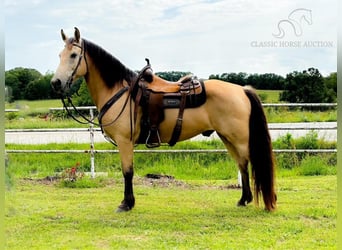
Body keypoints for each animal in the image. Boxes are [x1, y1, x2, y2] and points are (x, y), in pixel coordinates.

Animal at [50, 27, 276, 212]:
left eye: (73, 55)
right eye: (59, 55)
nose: (55, 83)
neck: (120, 92)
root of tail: (242, 90)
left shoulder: (124, 142)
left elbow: (127, 172)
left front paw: (126, 203)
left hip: (240, 139)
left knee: (251, 163)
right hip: (228, 137)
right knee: (242, 164)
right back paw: (243, 199)